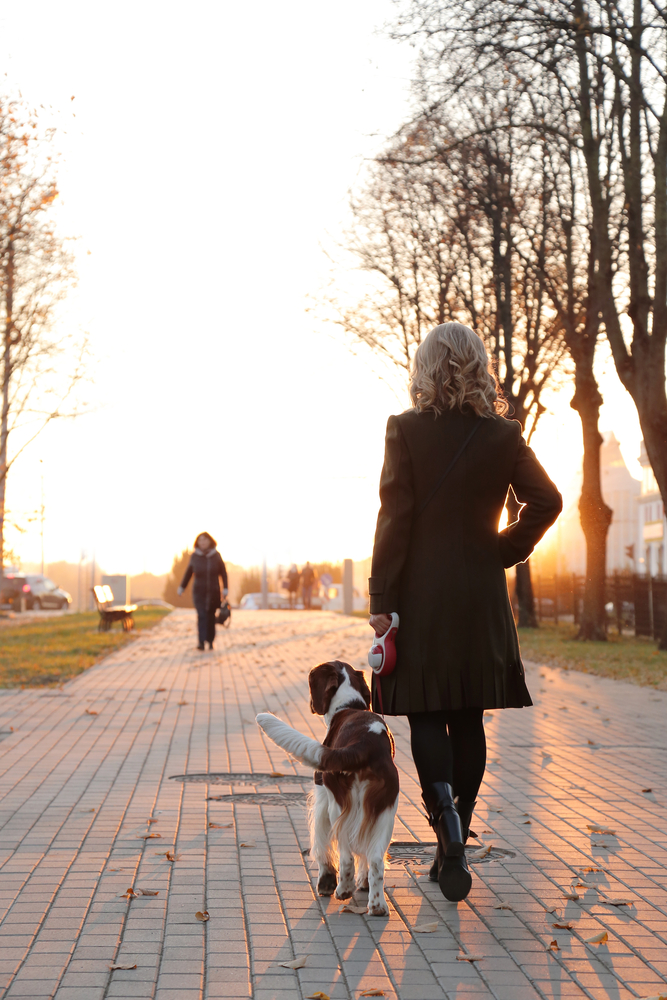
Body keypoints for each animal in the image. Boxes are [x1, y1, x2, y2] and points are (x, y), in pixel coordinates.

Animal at [258, 660, 400, 916]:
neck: (348, 706)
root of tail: (365, 744)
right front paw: (363, 885)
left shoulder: (322, 797)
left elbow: (320, 843)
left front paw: (325, 882)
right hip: (386, 811)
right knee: (375, 858)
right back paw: (377, 905)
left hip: (339, 808)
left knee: (346, 856)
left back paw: (343, 890)